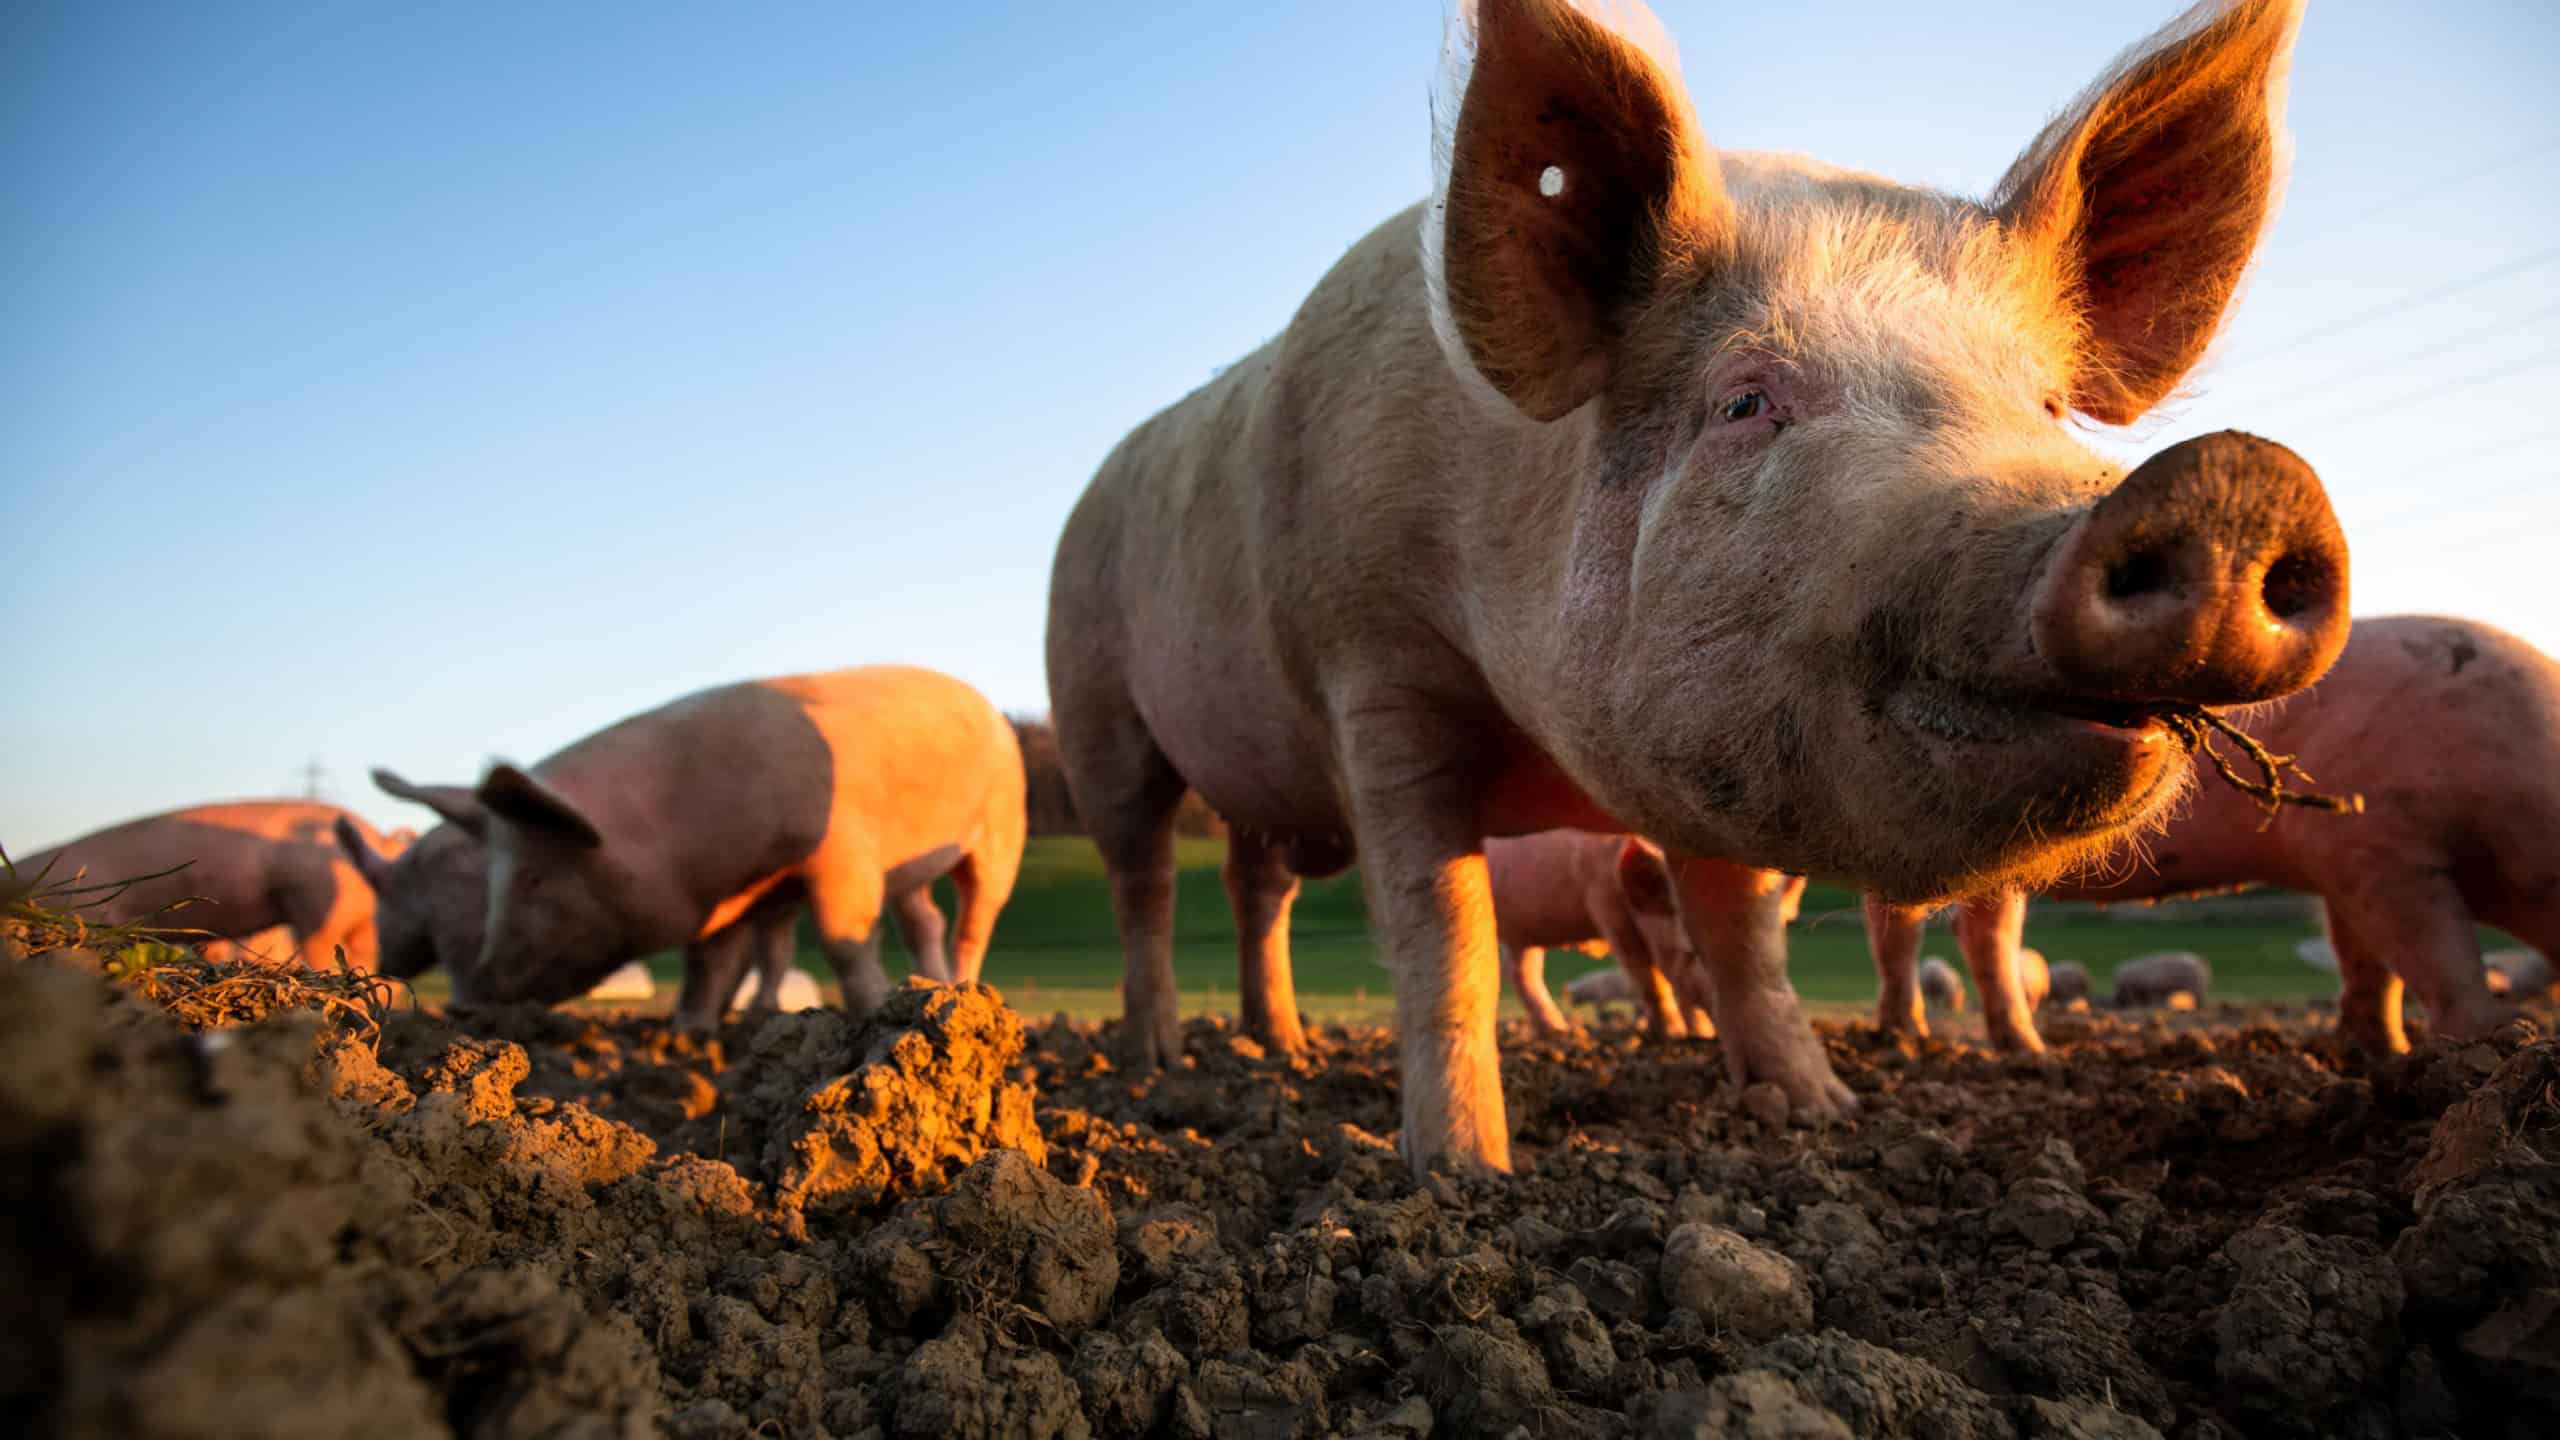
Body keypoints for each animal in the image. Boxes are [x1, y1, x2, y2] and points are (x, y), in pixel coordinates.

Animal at [337, 666, 1024, 1030]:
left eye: (532, 879)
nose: (469, 1000)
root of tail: (985, 705)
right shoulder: (732, 894)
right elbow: (710, 961)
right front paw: (691, 1030)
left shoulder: (841, 853)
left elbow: (842, 940)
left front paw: (872, 1010)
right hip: (912, 874)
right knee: (923, 918)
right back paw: (929, 984)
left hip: (1000, 833)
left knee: (974, 919)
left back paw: (962, 989)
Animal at [1486, 830, 1706, 1038]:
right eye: (1692, 952)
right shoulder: (1603, 897)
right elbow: (1646, 972)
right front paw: (1674, 1034)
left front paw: (1701, 1033)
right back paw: (1564, 1032)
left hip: (1526, 928)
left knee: (1520, 970)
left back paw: (1559, 1031)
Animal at [1868, 617, 2560, 1054]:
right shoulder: (2380, 844)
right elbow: (2438, 955)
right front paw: (2484, 1046)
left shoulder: (2344, 860)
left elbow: (2367, 962)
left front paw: (2378, 1051)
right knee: (1903, 932)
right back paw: (1916, 1043)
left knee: (1979, 933)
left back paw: (2019, 1050)